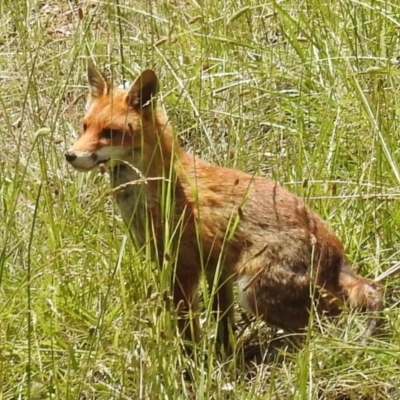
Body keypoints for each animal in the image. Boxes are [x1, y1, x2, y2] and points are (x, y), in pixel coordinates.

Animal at [65, 61, 384, 346]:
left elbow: (187, 330)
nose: (69, 155)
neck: (160, 189)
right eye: (84, 127)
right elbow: (222, 322)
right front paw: (222, 353)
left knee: (323, 324)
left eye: (109, 133)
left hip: (254, 289)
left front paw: (191, 363)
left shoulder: (184, 269)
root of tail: (338, 259)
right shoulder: (214, 270)